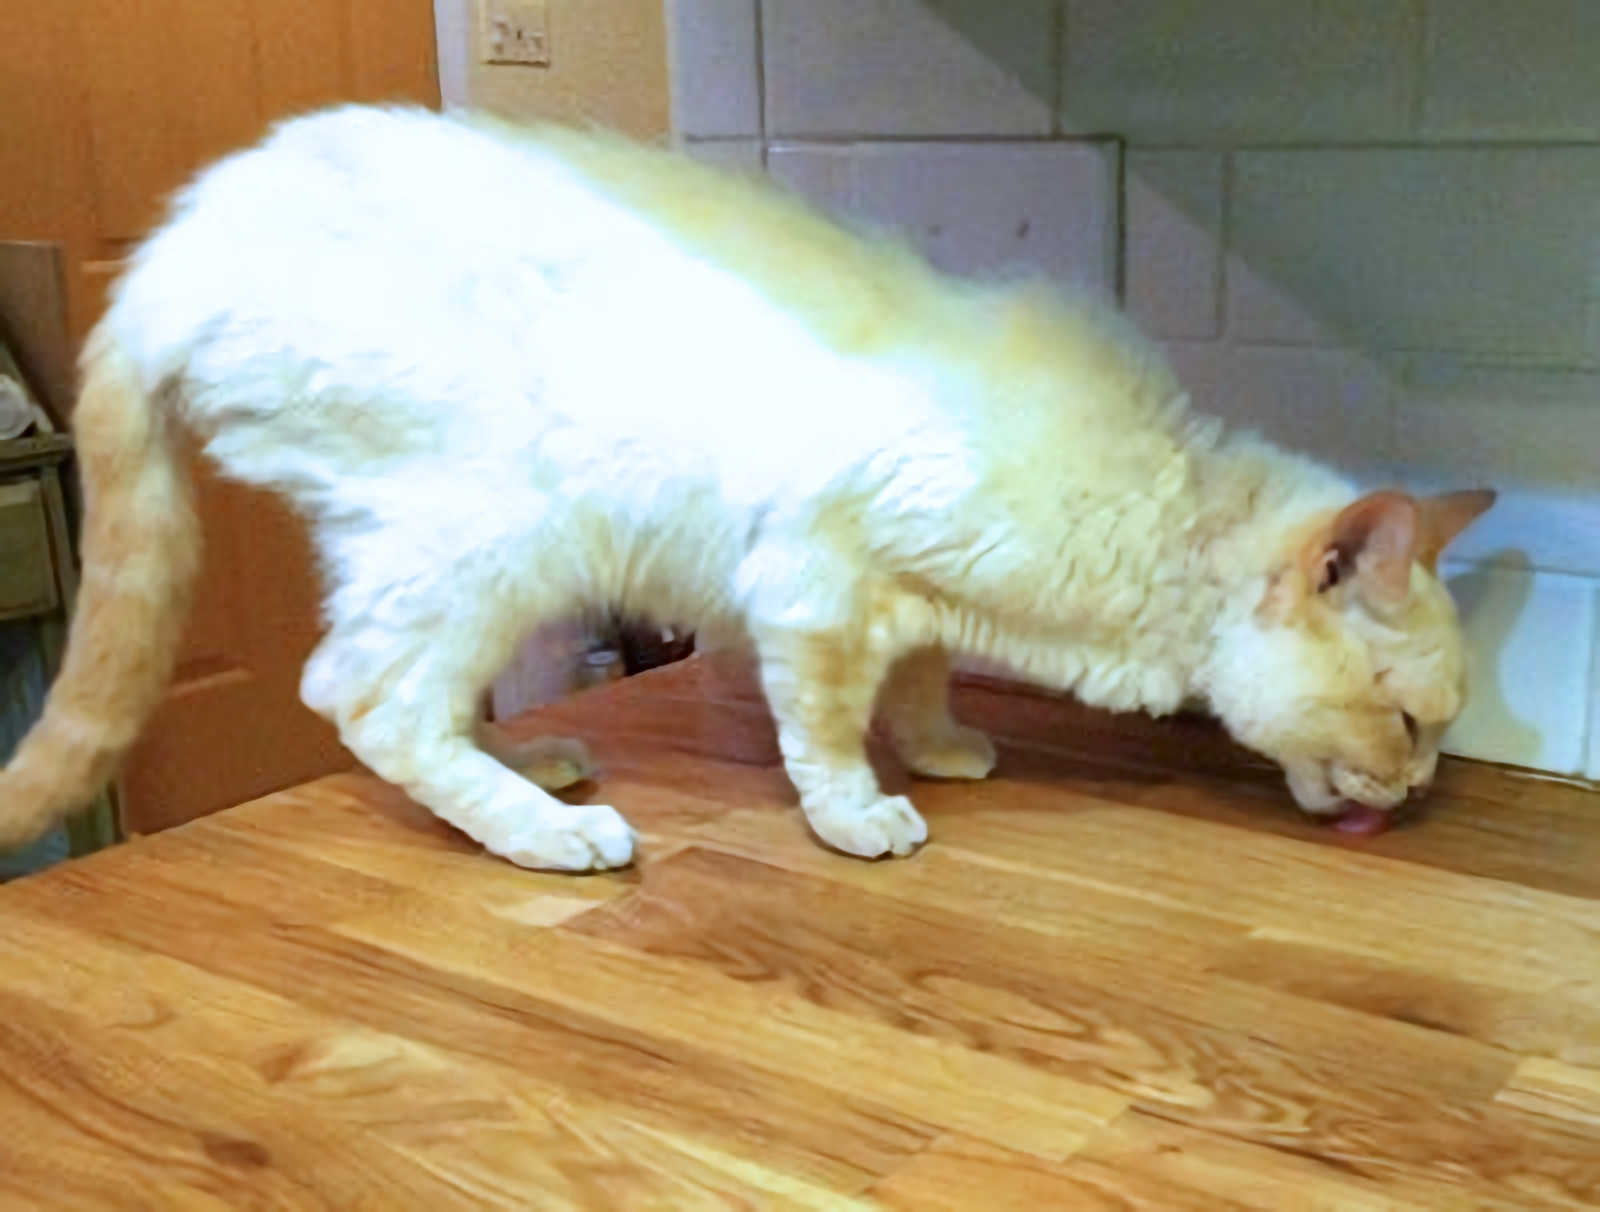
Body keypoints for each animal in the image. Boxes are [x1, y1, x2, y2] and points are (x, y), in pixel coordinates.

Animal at [0, 101, 1491, 863]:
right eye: (1408, 726)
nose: (1417, 797)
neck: (1165, 506)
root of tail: (172, 246)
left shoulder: (911, 597)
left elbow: (923, 677)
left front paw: (940, 747)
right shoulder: (812, 582)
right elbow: (823, 729)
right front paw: (863, 815)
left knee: (403, 695)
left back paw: (529, 764)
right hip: (496, 534)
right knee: (361, 698)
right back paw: (547, 831)